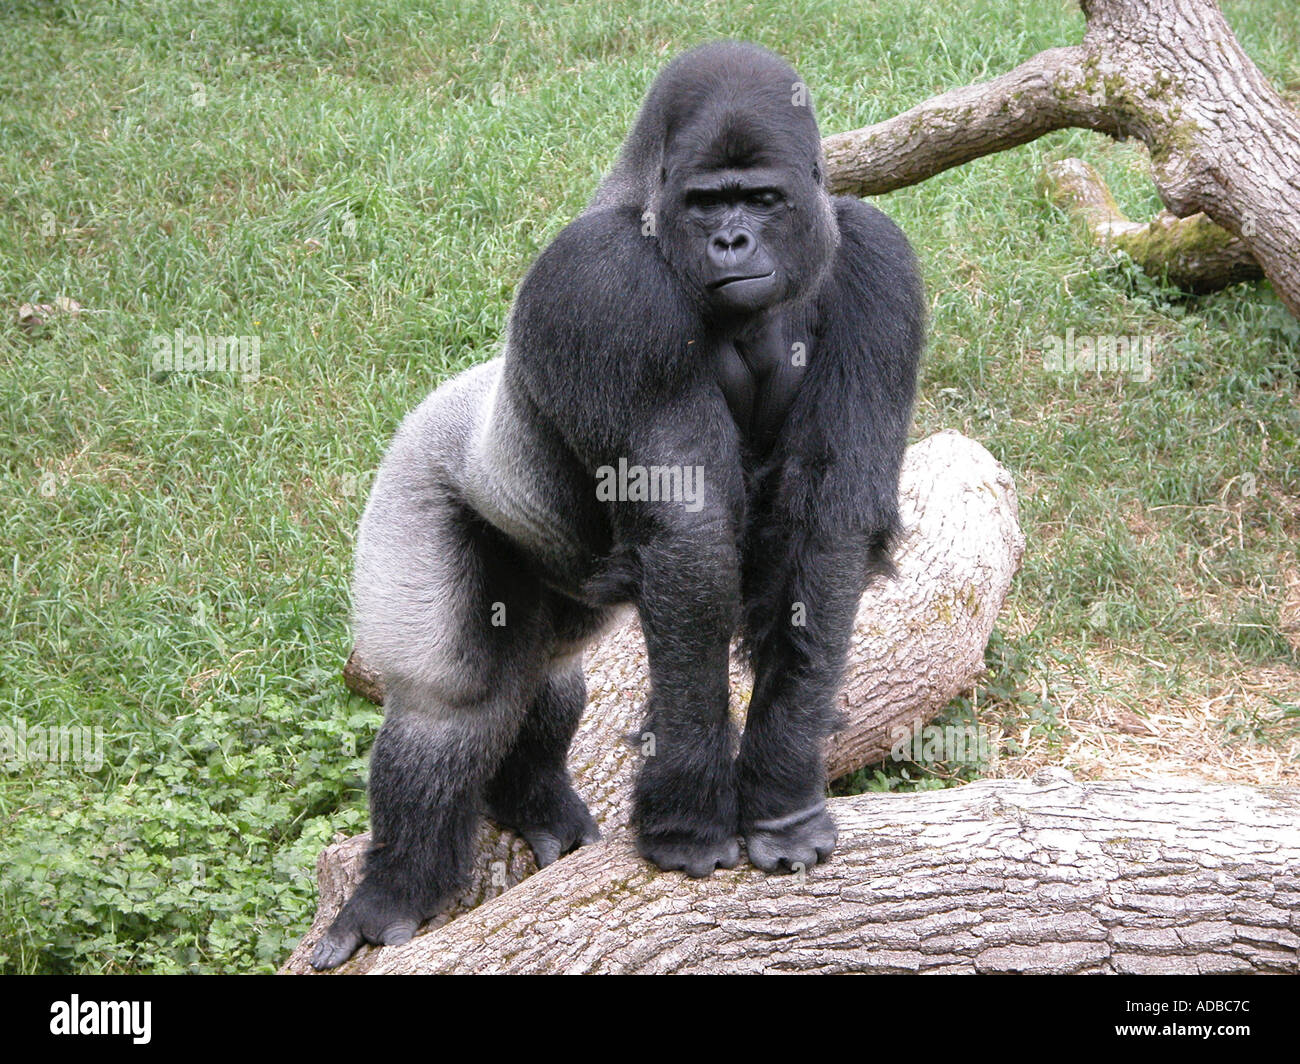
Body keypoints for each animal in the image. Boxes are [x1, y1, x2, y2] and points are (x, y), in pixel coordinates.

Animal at [313, 41, 925, 967]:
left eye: (762, 199)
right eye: (707, 203)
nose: (732, 239)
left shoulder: (880, 266)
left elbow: (830, 518)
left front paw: (783, 796)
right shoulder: (604, 287)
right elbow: (689, 528)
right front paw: (686, 814)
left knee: (550, 675)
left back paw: (530, 799)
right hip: (417, 469)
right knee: (455, 695)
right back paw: (398, 887)